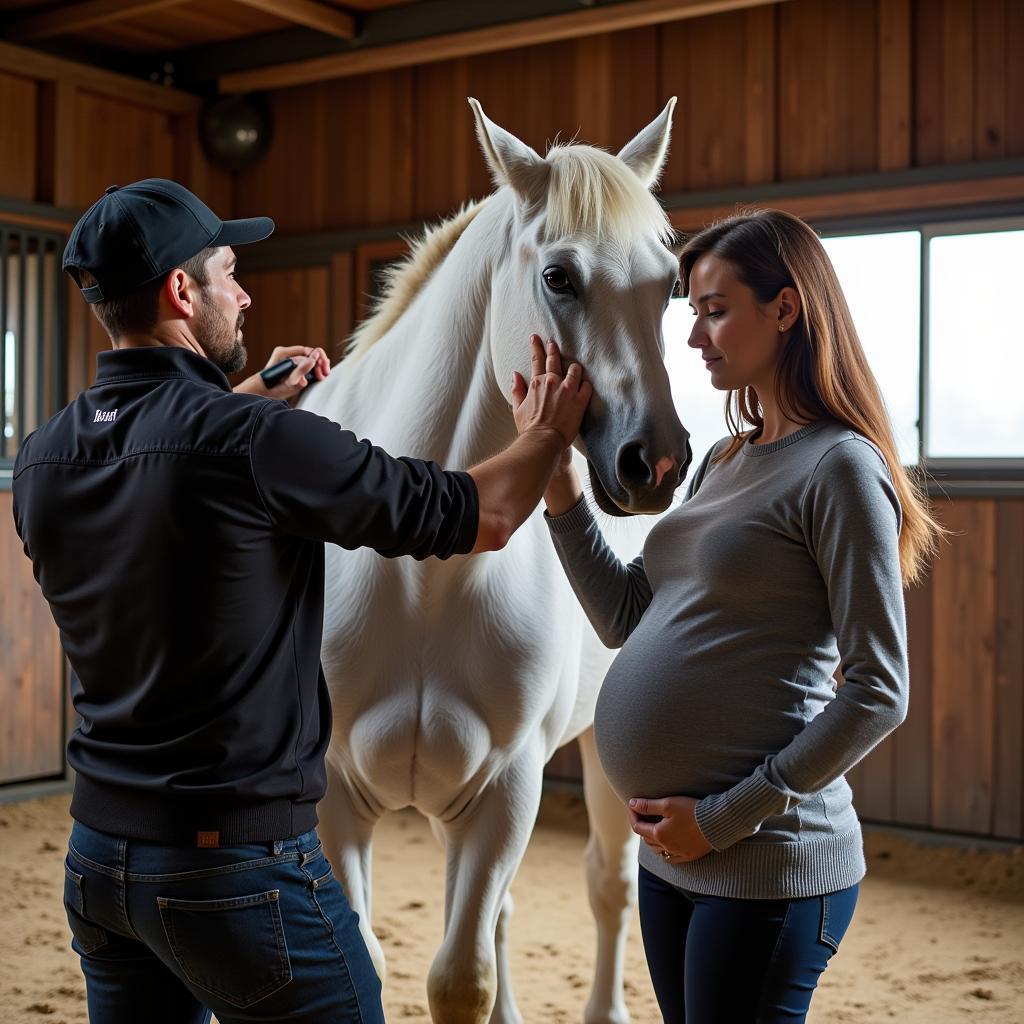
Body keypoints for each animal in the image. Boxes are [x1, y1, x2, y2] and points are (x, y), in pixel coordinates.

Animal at [299, 97, 692, 1024]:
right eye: (559, 277)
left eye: (672, 282)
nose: (655, 464)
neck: (420, 570)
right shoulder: (337, 799)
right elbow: (371, 958)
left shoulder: (503, 796)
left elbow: (462, 978)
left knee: (608, 889)